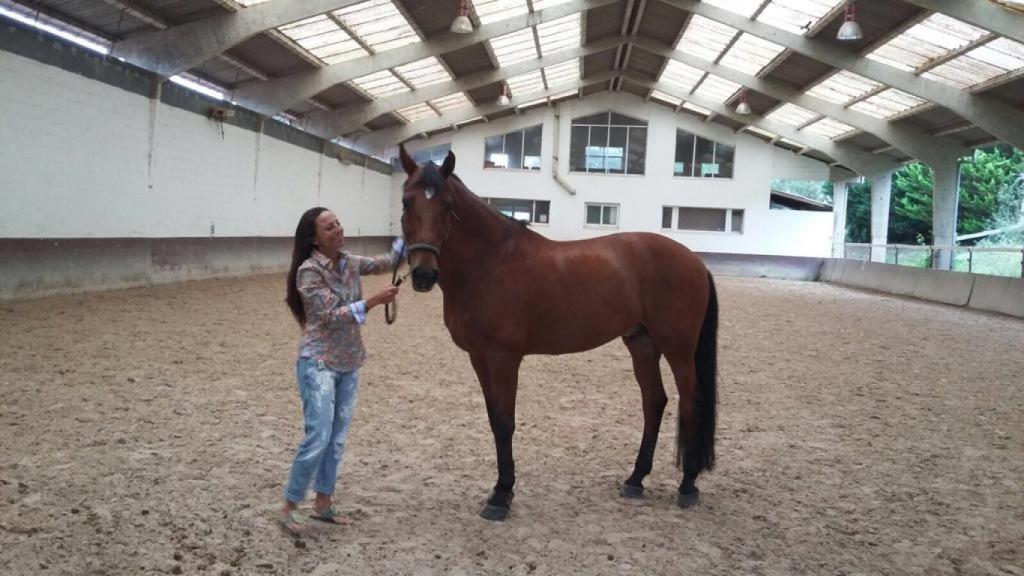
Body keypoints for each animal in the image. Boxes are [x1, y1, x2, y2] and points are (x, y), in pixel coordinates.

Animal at [395, 144, 716, 520]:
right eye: (406, 202)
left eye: (447, 206)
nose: (423, 274)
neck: (490, 261)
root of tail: (695, 261)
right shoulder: (479, 357)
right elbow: (493, 419)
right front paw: (501, 488)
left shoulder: (504, 358)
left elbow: (504, 422)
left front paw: (501, 495)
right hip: (641, 342)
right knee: (654, 401)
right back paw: (635, 479)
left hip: (678, 347)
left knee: (692, 400)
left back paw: (688, 485)